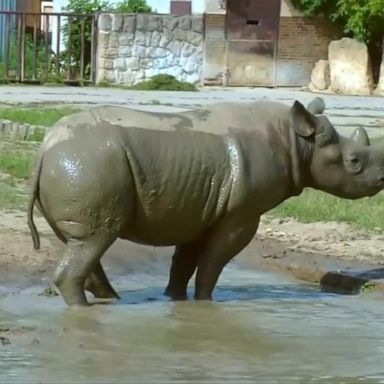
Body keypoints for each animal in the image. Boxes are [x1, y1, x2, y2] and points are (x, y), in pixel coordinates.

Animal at [27, 98, 384, 306]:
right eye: (354, 162)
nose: (381, 179)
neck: (299, 144)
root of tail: (44, 148)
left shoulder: (200, 206)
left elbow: (184, 262)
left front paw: (174, 300)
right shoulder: (242, 214)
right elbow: (213, 262)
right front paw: (205, 303)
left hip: (79, 166)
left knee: (83, 241)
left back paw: (111, 302)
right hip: (88, 164)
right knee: (95, 239)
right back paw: (85, 310)